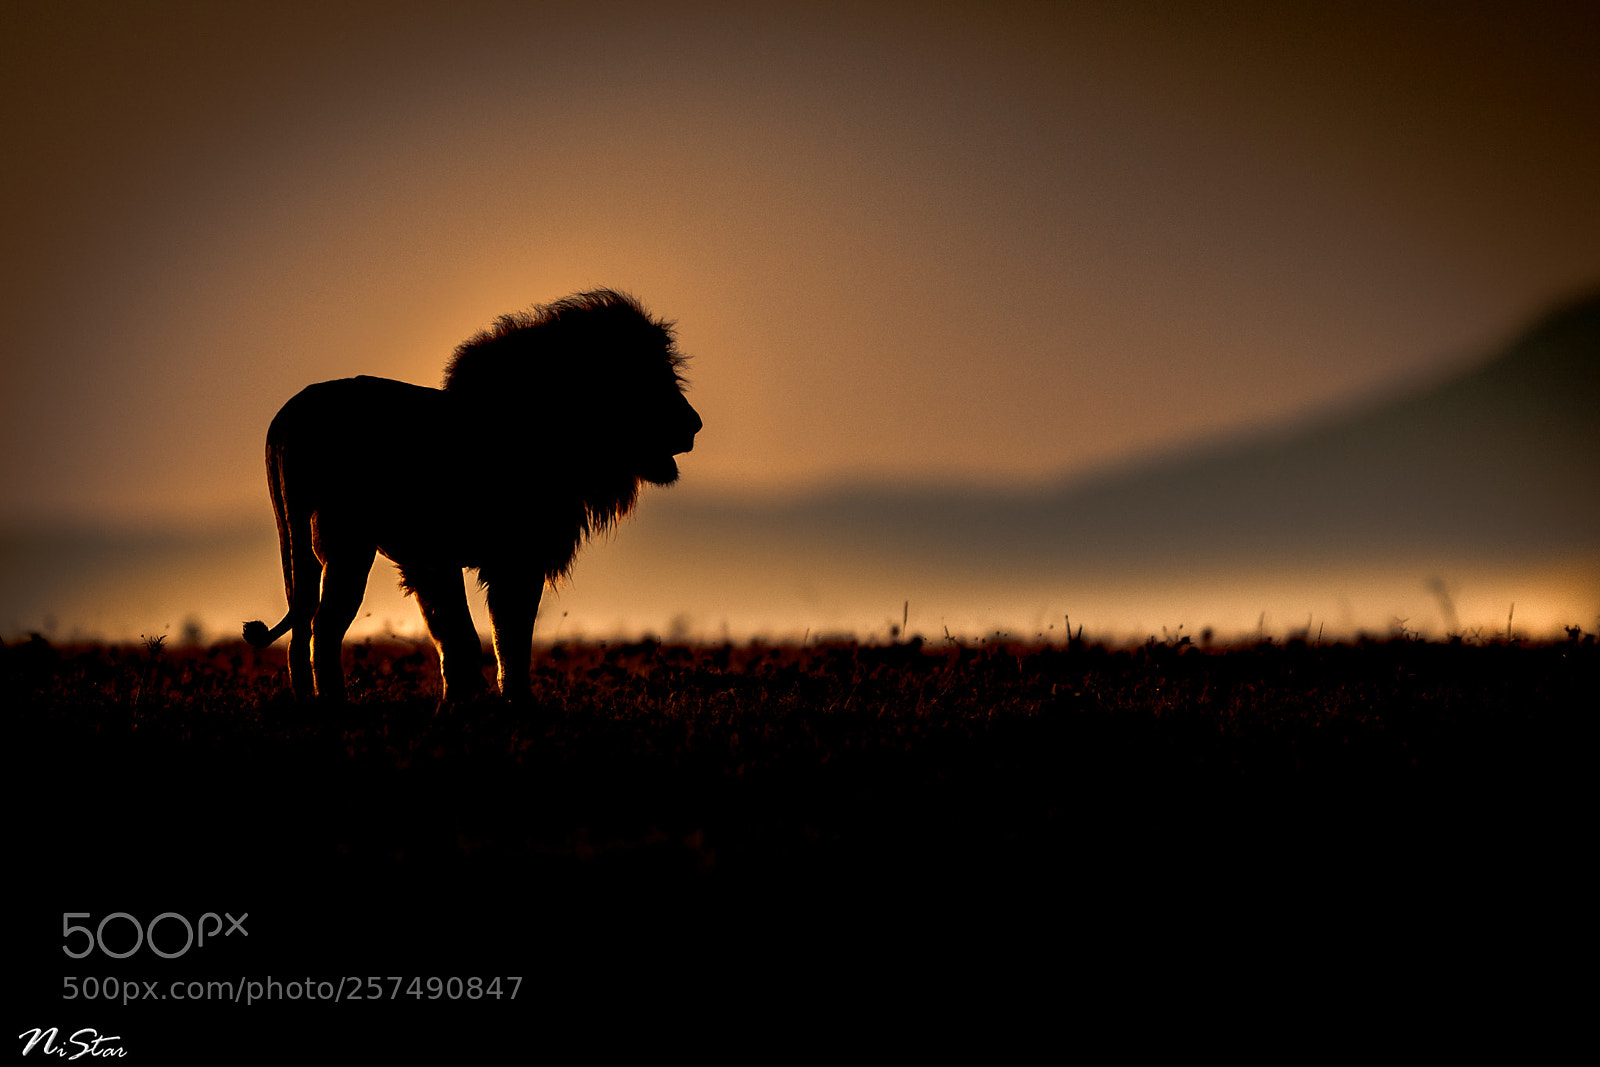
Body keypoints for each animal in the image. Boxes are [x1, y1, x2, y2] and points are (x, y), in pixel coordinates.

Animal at [243, 289, 701, 702]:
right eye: (651, 381)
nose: (694, 424)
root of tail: (291, 414)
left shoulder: (444, 559)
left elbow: (465, 632)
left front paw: (464, 702)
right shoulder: (506, 555)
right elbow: (498, 635)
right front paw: (508, 705)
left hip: (301, 540)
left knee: (303, 621)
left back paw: (307, 700)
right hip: (347, 544)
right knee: (324, 624)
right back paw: (335, 704)